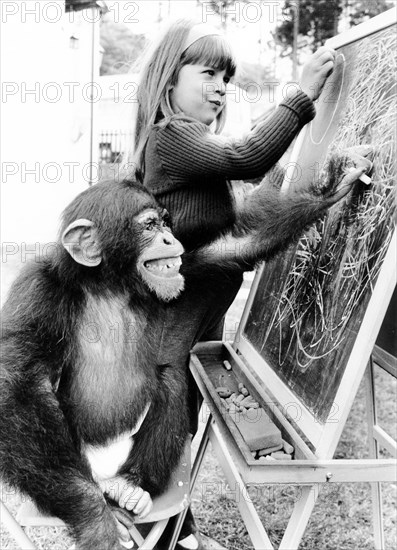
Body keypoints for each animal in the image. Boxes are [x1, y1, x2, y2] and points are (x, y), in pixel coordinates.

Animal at [0, 152, 372, 550]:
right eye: (148, 226)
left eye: (165, 222)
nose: (168, 237)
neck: (108, 285)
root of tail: (107, 470)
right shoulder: (37, 293)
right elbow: (18, 390)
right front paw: (96, 521)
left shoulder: (185, 274)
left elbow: (236, 246)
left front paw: (336, 183)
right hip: (72, 462)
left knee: (171, 378)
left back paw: (131, 486)